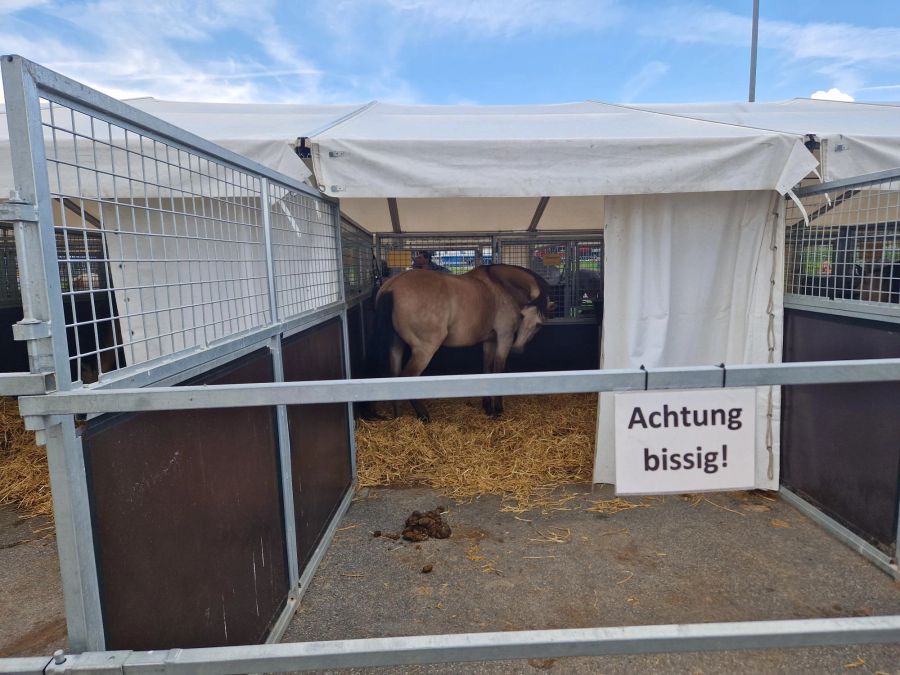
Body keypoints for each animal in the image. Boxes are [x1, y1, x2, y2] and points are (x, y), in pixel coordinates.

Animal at [368, 266, 552, 420]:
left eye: (539, 324)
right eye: (522, 316)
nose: (517, 350)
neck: (500, 286)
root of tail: (391, 286)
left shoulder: (490, 341)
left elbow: (487, 371)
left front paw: (488, 407)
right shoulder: (504, 338)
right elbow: (498, 371)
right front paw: (498, 410)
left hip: (396, 345)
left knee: (394, 376)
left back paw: (398, 416)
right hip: (424, 350)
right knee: (408, 377)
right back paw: (424, 416)